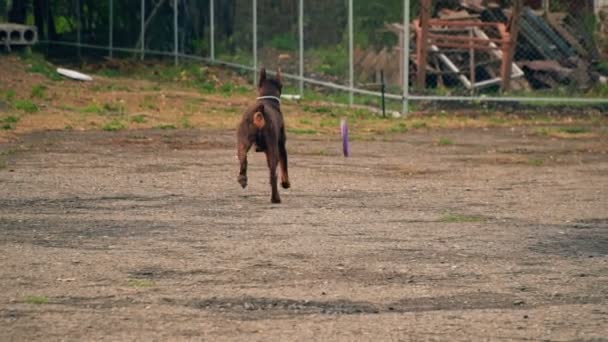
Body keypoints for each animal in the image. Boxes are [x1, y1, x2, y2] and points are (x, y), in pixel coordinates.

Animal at [235, 68, 290, 204]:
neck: (268, 100)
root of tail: (260, 110)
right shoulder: (281, 146)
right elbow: (284, 165)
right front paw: (286, 183)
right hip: (273, 149)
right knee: (273, 174)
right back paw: (276, 198)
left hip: (242, 141)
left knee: (243, 160)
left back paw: (242, 179)